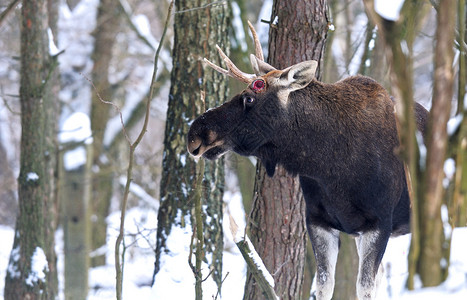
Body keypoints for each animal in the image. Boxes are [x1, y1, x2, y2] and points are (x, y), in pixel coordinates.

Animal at [188, 21, 430, 300]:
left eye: (250, 97)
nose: (194, 134)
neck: (329, 165)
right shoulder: (318, 220)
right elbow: (324, 284)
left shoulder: (379, 222)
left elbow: (363, 287)